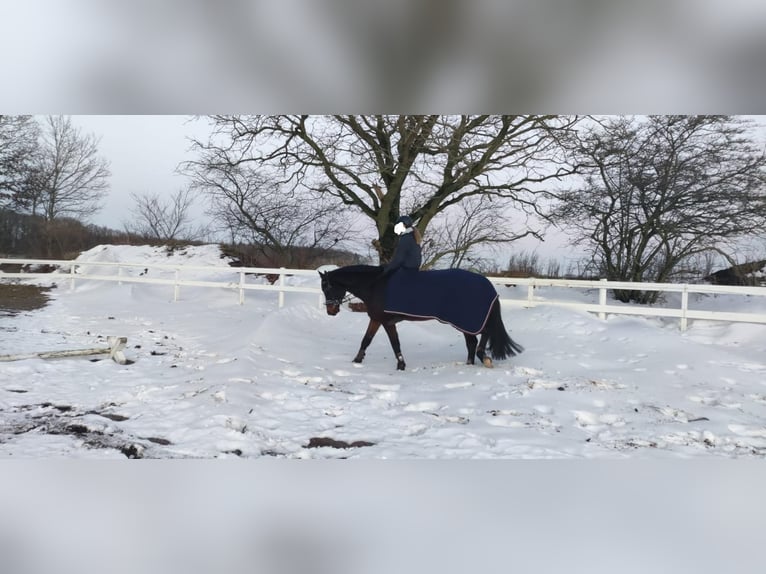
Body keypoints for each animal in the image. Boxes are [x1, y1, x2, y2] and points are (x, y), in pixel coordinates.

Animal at [319, 265, 523, 370]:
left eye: (327, 287)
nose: (331, 311)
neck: (375, 285)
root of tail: (487, 284)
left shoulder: (386, 321)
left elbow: (395, 343)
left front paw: (401, 365)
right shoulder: (376, 319)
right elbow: (366, 340)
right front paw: (357, 360)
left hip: (468, 320)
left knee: (484, 334)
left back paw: (483, 358)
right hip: (464, 322)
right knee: (472, 342)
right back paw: (469, 364)